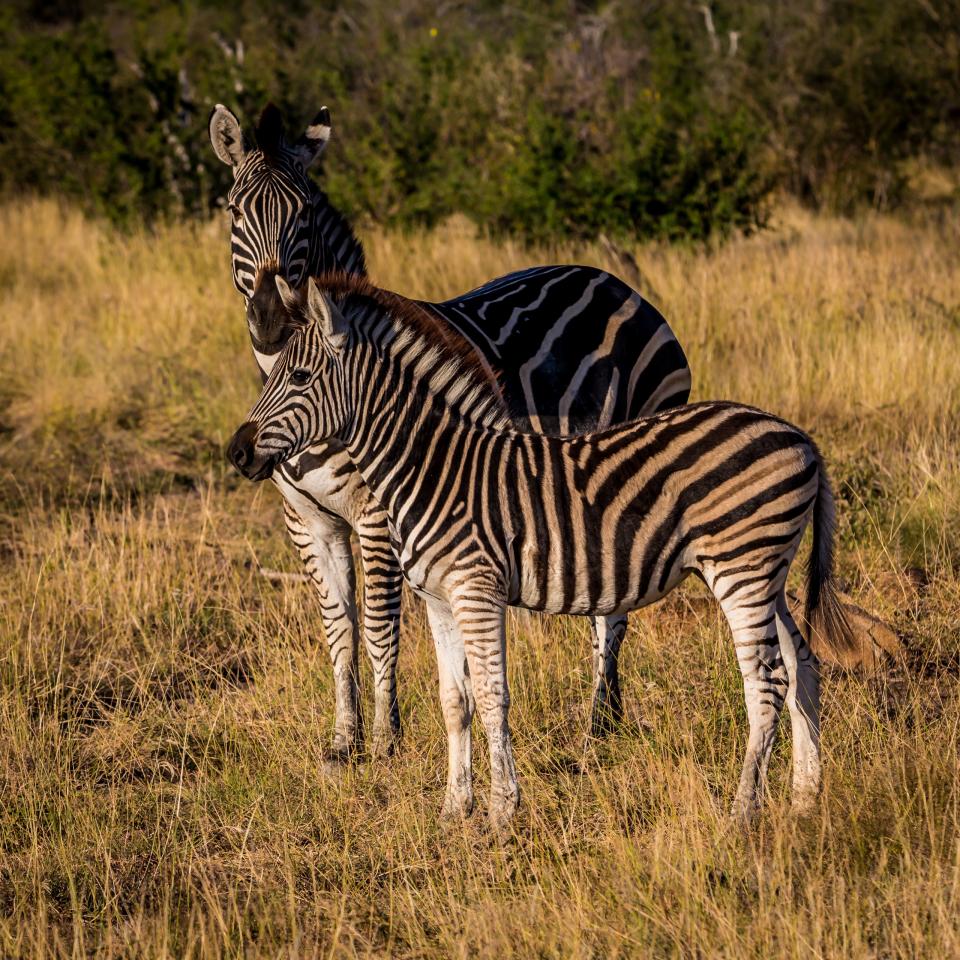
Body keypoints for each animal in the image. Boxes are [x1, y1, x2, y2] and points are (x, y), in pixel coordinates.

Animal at [209, 102, 692, 762]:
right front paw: (343, 741)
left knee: (611, 612)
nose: (270, 318)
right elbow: (339, 627)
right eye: (235, 209)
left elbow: (379, 625)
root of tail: (615, 282)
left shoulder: (378, 515)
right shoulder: (307, 521)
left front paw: (386, 739)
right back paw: (607, 717)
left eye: (304, 210)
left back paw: (598, 721)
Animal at [227, 274, 857, 828]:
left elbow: (492, 695)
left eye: (300, 376)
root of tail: (799, 436)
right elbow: (455, 701)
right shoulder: (437, 597)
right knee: (802, 668)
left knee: (765, 684)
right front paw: (454, 810)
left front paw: (502, 811)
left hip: (742, 570)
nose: (236, 451)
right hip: (767, 575)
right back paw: (805, 799)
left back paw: (744, 813)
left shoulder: (476, 590)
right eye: (274, 372)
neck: (433, 466)